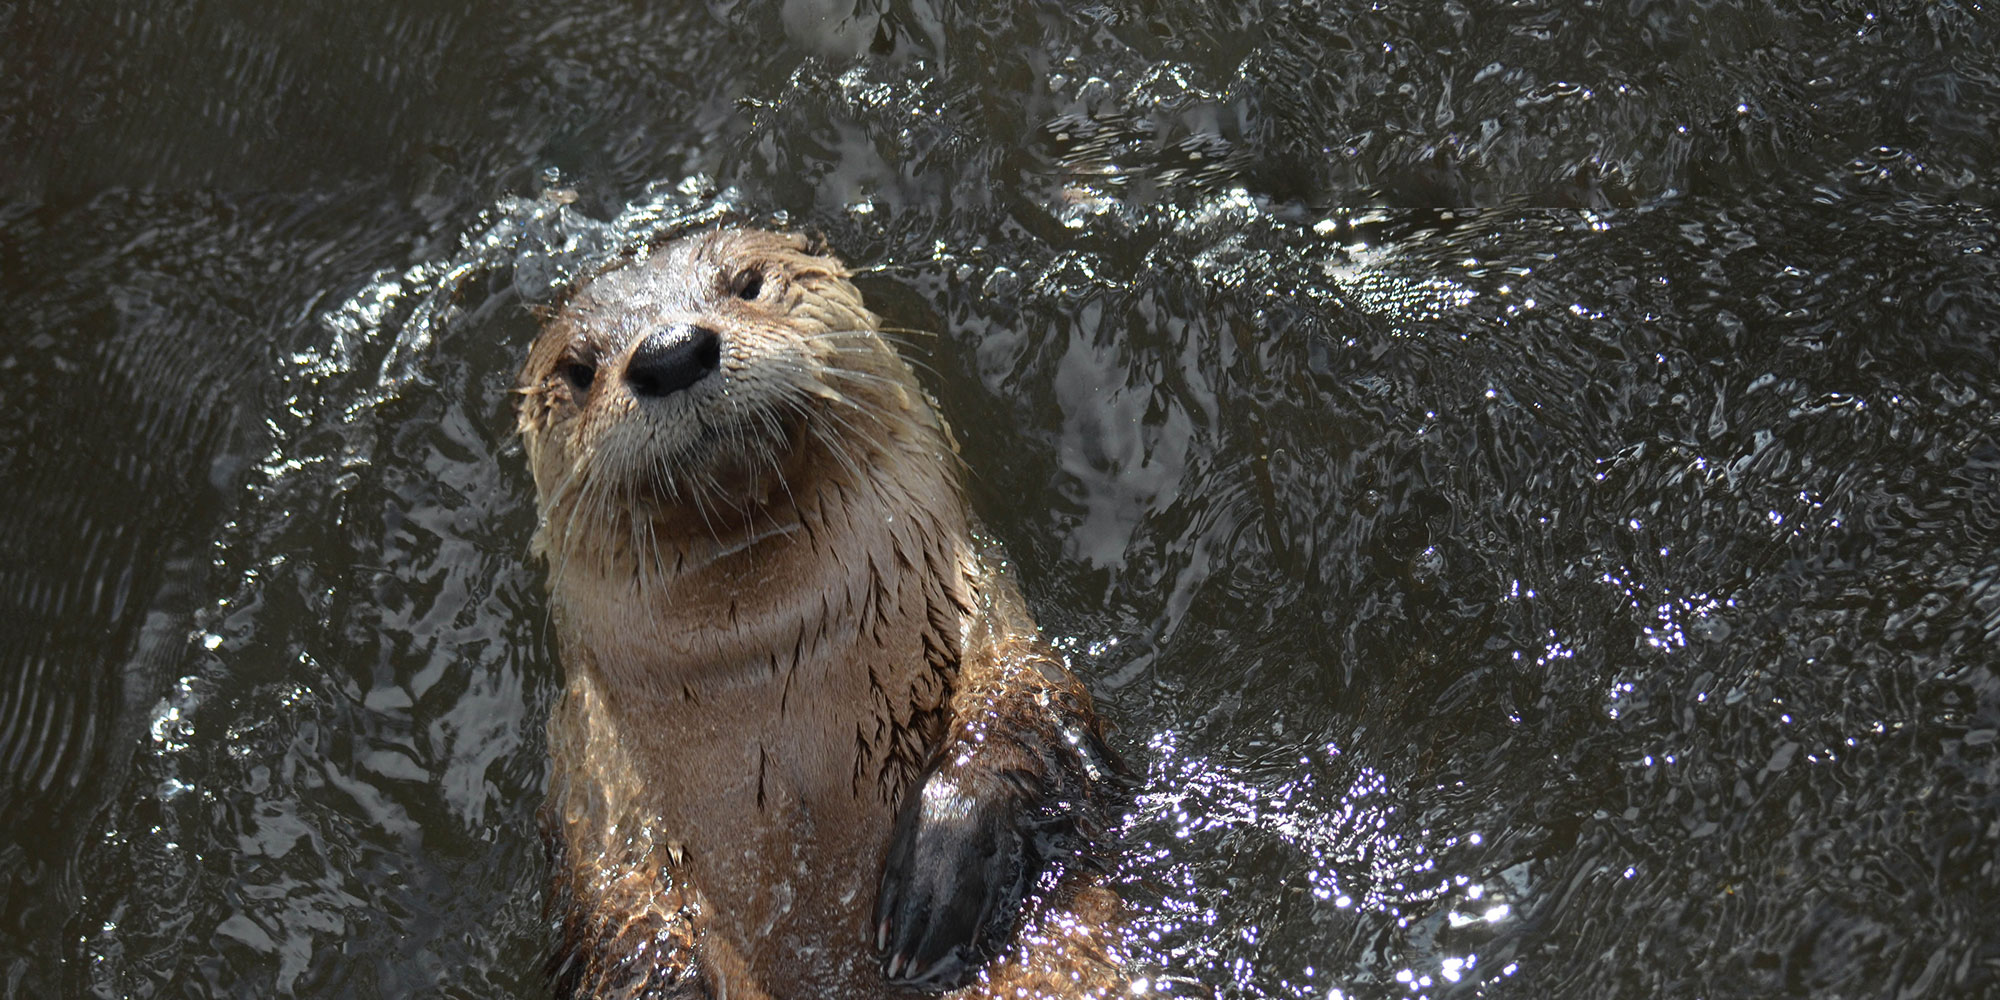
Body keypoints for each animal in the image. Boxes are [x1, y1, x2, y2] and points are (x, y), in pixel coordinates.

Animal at [515, 228, 1128, 999]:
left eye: (747, 283)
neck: (772, 668)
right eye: (578, 368)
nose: (670, 352)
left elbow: (1026, 712)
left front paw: (934, 874)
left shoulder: (994, 617)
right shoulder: (591, 788)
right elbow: (624, 919)